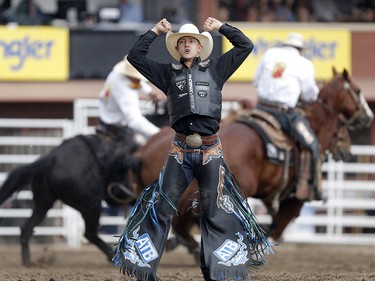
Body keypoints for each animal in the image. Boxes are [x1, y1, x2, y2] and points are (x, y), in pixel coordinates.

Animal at [0, 100, 169, 264]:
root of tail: (50, 158)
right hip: (91, 204)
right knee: (90, 233)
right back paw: (112, 255)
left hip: (44, 203)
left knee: (26, 228)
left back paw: (28, 261)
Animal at [129, 66, 374, 260]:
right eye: (357, 91)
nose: (368, 117)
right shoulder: (295, 197)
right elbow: (280, 223)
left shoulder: (269, 192)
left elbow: (273, 216)